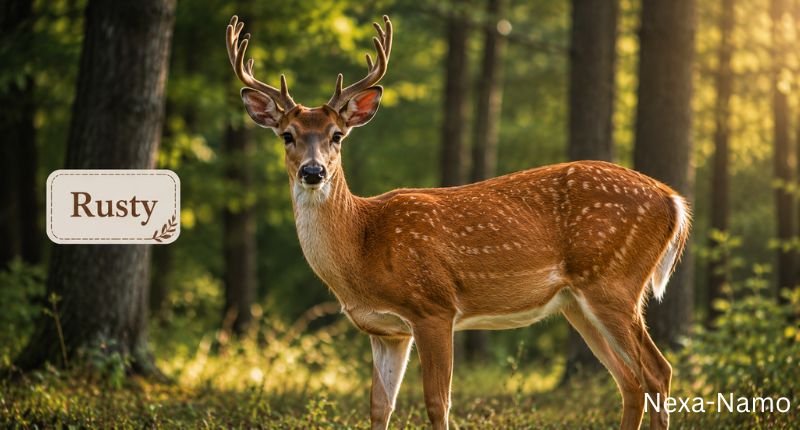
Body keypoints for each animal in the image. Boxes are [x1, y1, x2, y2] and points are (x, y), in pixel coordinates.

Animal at [226, 14, 691, 430]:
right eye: (287, 135)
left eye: (336, 135)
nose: (313, 171)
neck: (362, 244)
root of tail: (673, 200)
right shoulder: (387, 331)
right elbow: (379, 408)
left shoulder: (434, 306)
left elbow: (438, 403)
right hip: (576, 302)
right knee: (630, 382)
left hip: (613, 281)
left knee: (658, 372)